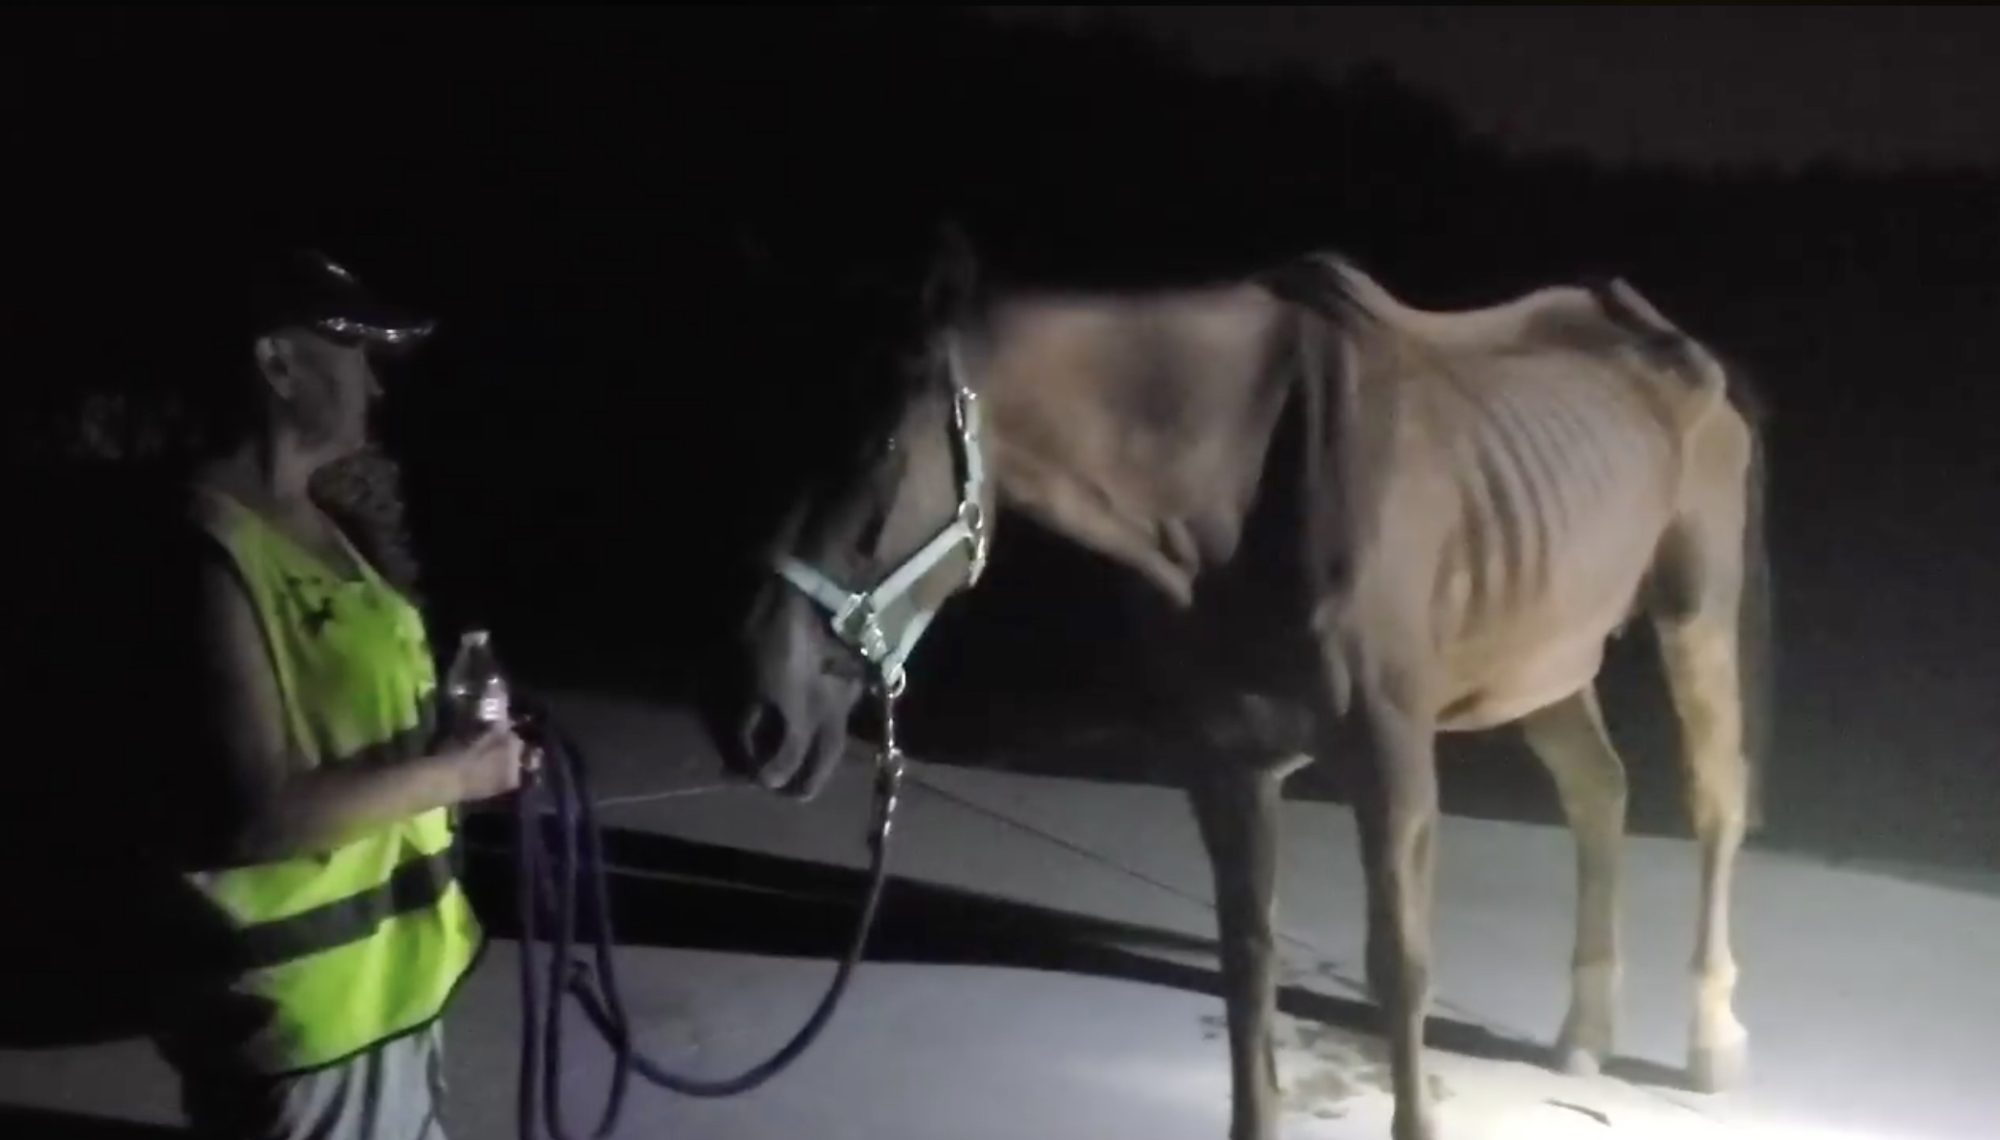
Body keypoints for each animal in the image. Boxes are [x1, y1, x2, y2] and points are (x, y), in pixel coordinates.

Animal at [700, 239, 1771, 1140]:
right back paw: (1583, 1034)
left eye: (881, 448)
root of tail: (1673, 344)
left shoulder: (1391, 759)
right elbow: (1247, 961)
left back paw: (1712, 1041)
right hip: (1544, 659)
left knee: (1716, 800)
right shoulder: (1226, 762)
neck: (1239, 480)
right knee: (1599, 793)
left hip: (1697, 611)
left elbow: (1400, 969)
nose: (756, 717)